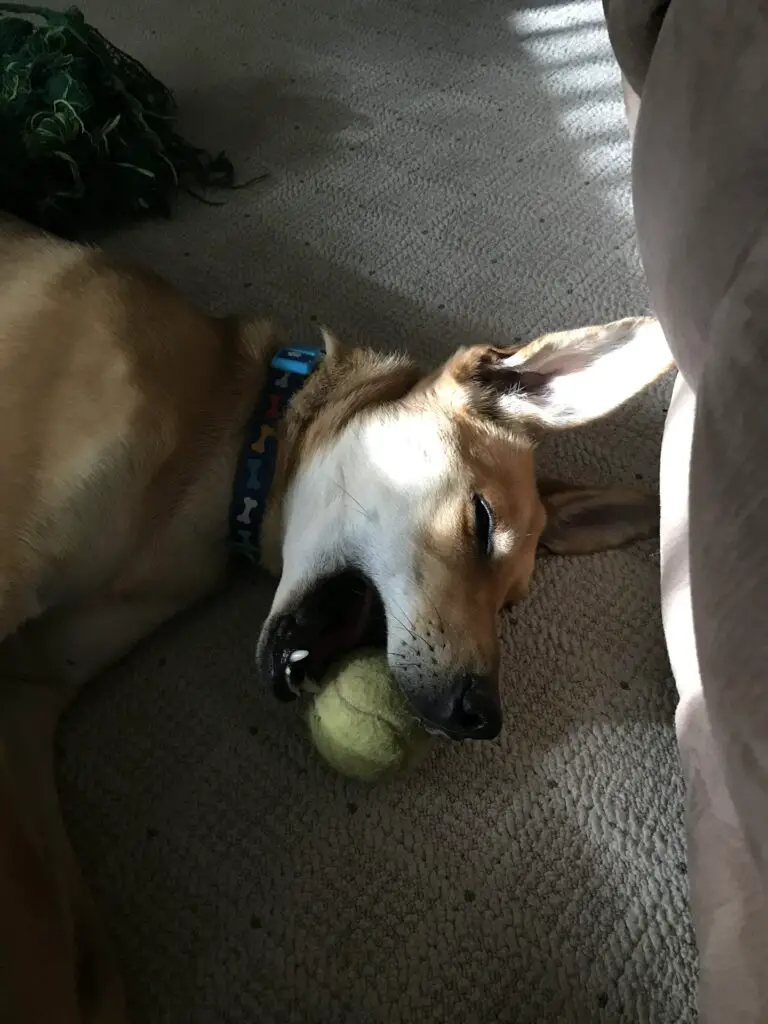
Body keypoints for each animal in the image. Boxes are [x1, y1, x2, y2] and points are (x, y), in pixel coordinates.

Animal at [0, 211, 671, 1019]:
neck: (234, 440)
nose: (483, 717)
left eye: (513, 606)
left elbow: (49, 928)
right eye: (481, 524)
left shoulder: (28, 698)